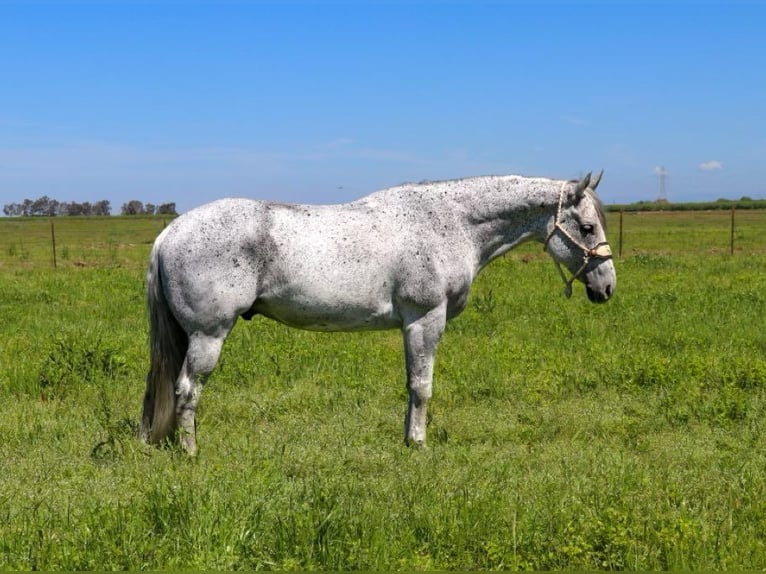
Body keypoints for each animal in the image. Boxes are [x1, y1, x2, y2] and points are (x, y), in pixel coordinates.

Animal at [140, 170, 616, 454]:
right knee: (186, 390)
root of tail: (170, 233)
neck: (450, 223)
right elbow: (422, 386)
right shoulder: (425, 320)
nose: (607, 287)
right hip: (208, 336)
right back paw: (191, 452)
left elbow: (411, 385)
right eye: (587, 227)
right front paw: (419, 444)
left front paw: (408, 438)